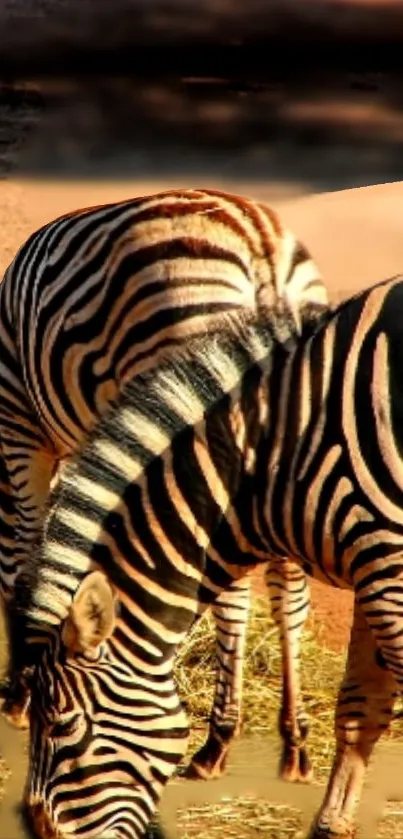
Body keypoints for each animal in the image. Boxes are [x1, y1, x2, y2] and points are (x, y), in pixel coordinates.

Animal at [0, 185, 328, 788]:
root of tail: (261, 243)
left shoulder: (21, 427)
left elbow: (30, 553)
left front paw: (21, 693)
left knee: (229, 587)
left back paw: (218, 740)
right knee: (287, 588)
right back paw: (293, 742)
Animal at [11, 274, 403, 839]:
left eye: (63, 726)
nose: (39, 831)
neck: (275, 452)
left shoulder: (390, 562)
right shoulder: (370, 562)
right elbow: (358, 707)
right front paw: (332, 823)